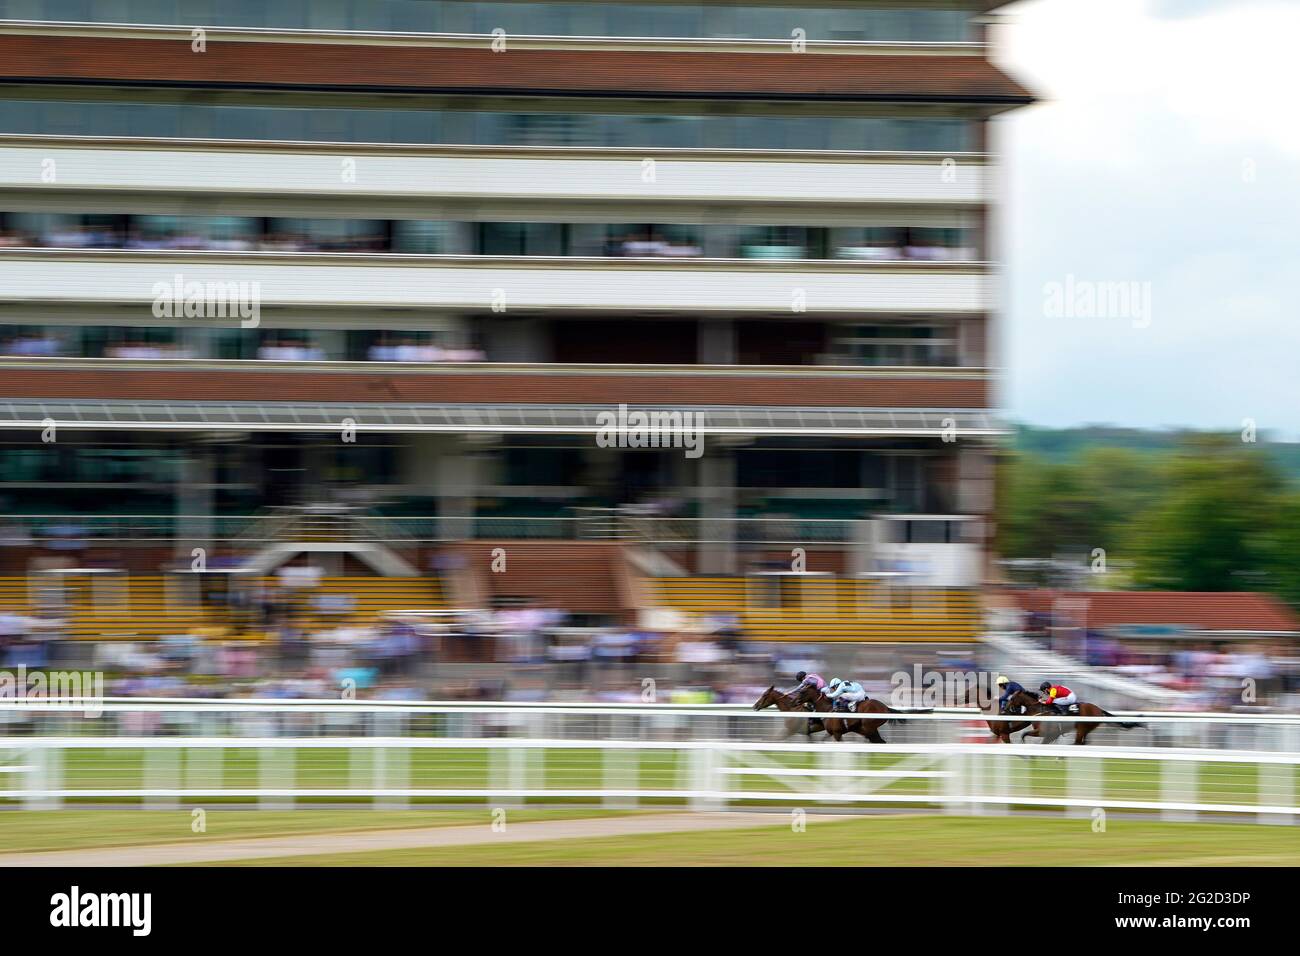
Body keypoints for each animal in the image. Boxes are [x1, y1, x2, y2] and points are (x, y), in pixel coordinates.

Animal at [998, 691, 1144, 749]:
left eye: (1012, 698)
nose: (1005, 709)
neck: (1040, 710)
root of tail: (1098, 709)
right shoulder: (1051, 734)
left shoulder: (1043, 732)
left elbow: (1024, 734)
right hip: (1085, 729)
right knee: (1082, 742)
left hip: (1081, 727)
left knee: (1078, 742)